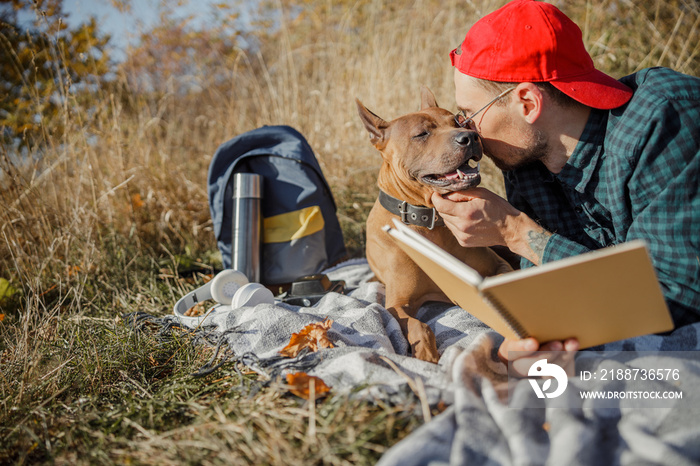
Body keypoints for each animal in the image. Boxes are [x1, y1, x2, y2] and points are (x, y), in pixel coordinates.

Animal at [358, 87, 512, 364]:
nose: (470, 137)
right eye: (421, 134)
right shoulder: (396, 304)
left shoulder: (498, 266)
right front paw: (426, 353)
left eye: (458, 122)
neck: (430, 222)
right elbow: (418, 325)